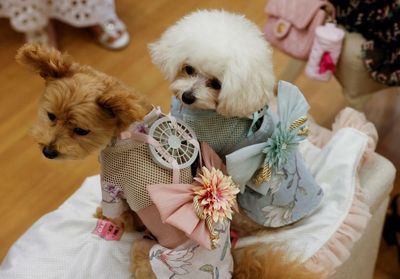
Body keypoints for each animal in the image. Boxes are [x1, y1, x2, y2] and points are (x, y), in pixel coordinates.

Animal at [18, 43, 322, 279]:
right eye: (51, 115)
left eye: (81, 131)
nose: (48, 151)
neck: (130, 129)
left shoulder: (112, 186)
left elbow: (114, 212)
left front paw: (104, 217)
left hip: (144, 251)